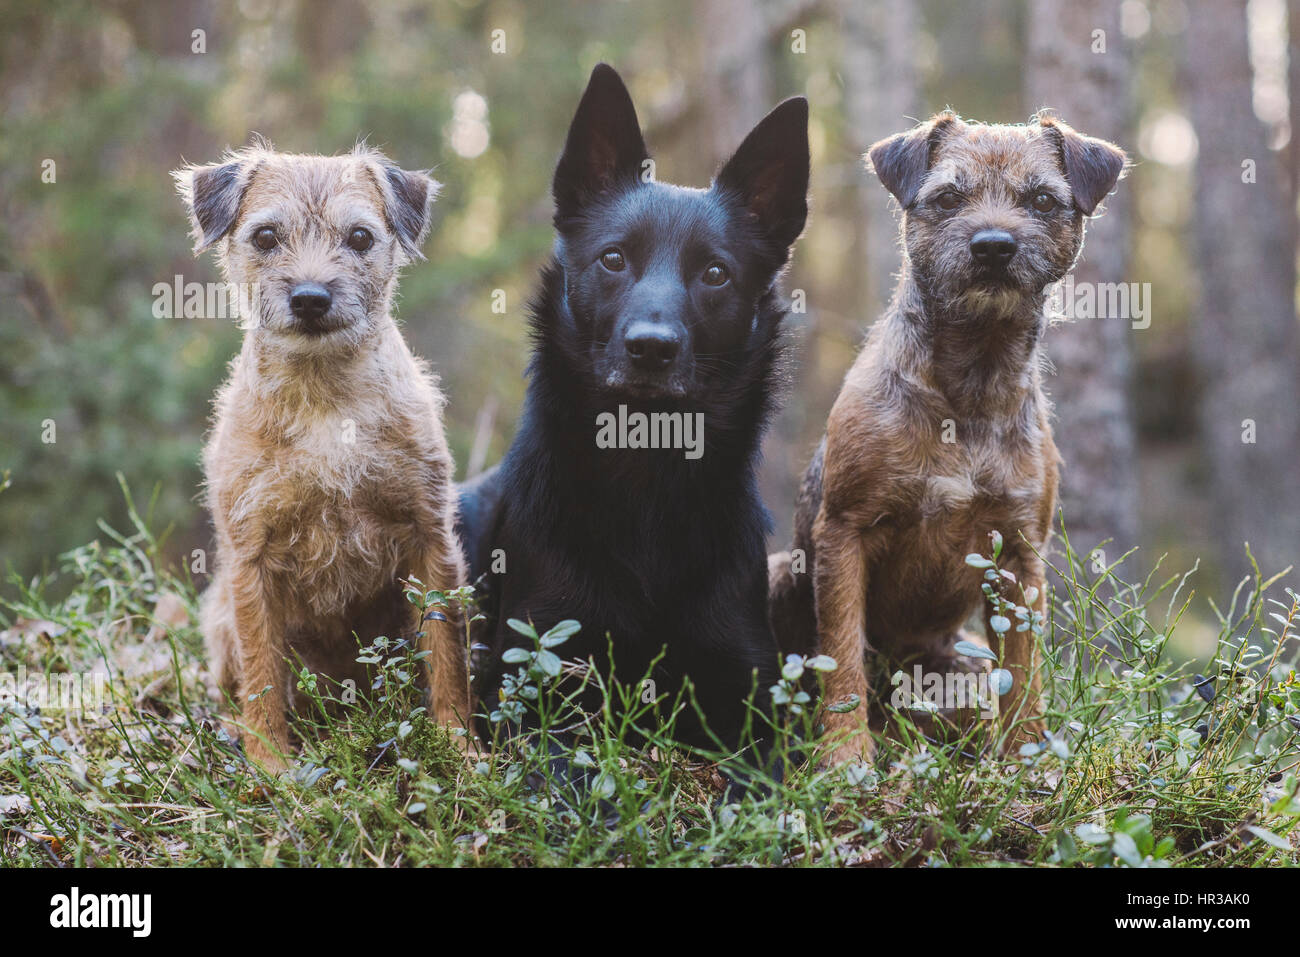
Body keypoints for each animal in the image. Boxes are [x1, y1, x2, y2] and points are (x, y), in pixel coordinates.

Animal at [176, 140, 473, 769]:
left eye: (359, 237)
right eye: (266, 236)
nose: (311, 297)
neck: (325, 402)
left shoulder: (429, 536)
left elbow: (445, 652)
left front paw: (461, 748)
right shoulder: (251, 557)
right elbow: (262, 668)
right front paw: (270, 763)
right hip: (219, 617)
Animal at [462, 65, 806, 785]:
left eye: (715, 273)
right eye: (614, 259)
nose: (652, 348)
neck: (646, 472)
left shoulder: (754, 706)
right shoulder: (535, 686)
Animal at [769, 111, 1128, 764]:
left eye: (1042, 199)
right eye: (947, 198)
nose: (993, 245)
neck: (969, 387)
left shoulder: (1018, 555)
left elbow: (1023, 668)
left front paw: (1026, 753)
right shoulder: (844, 534)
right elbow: (841, 653)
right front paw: (846, 757)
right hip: (783, 572)